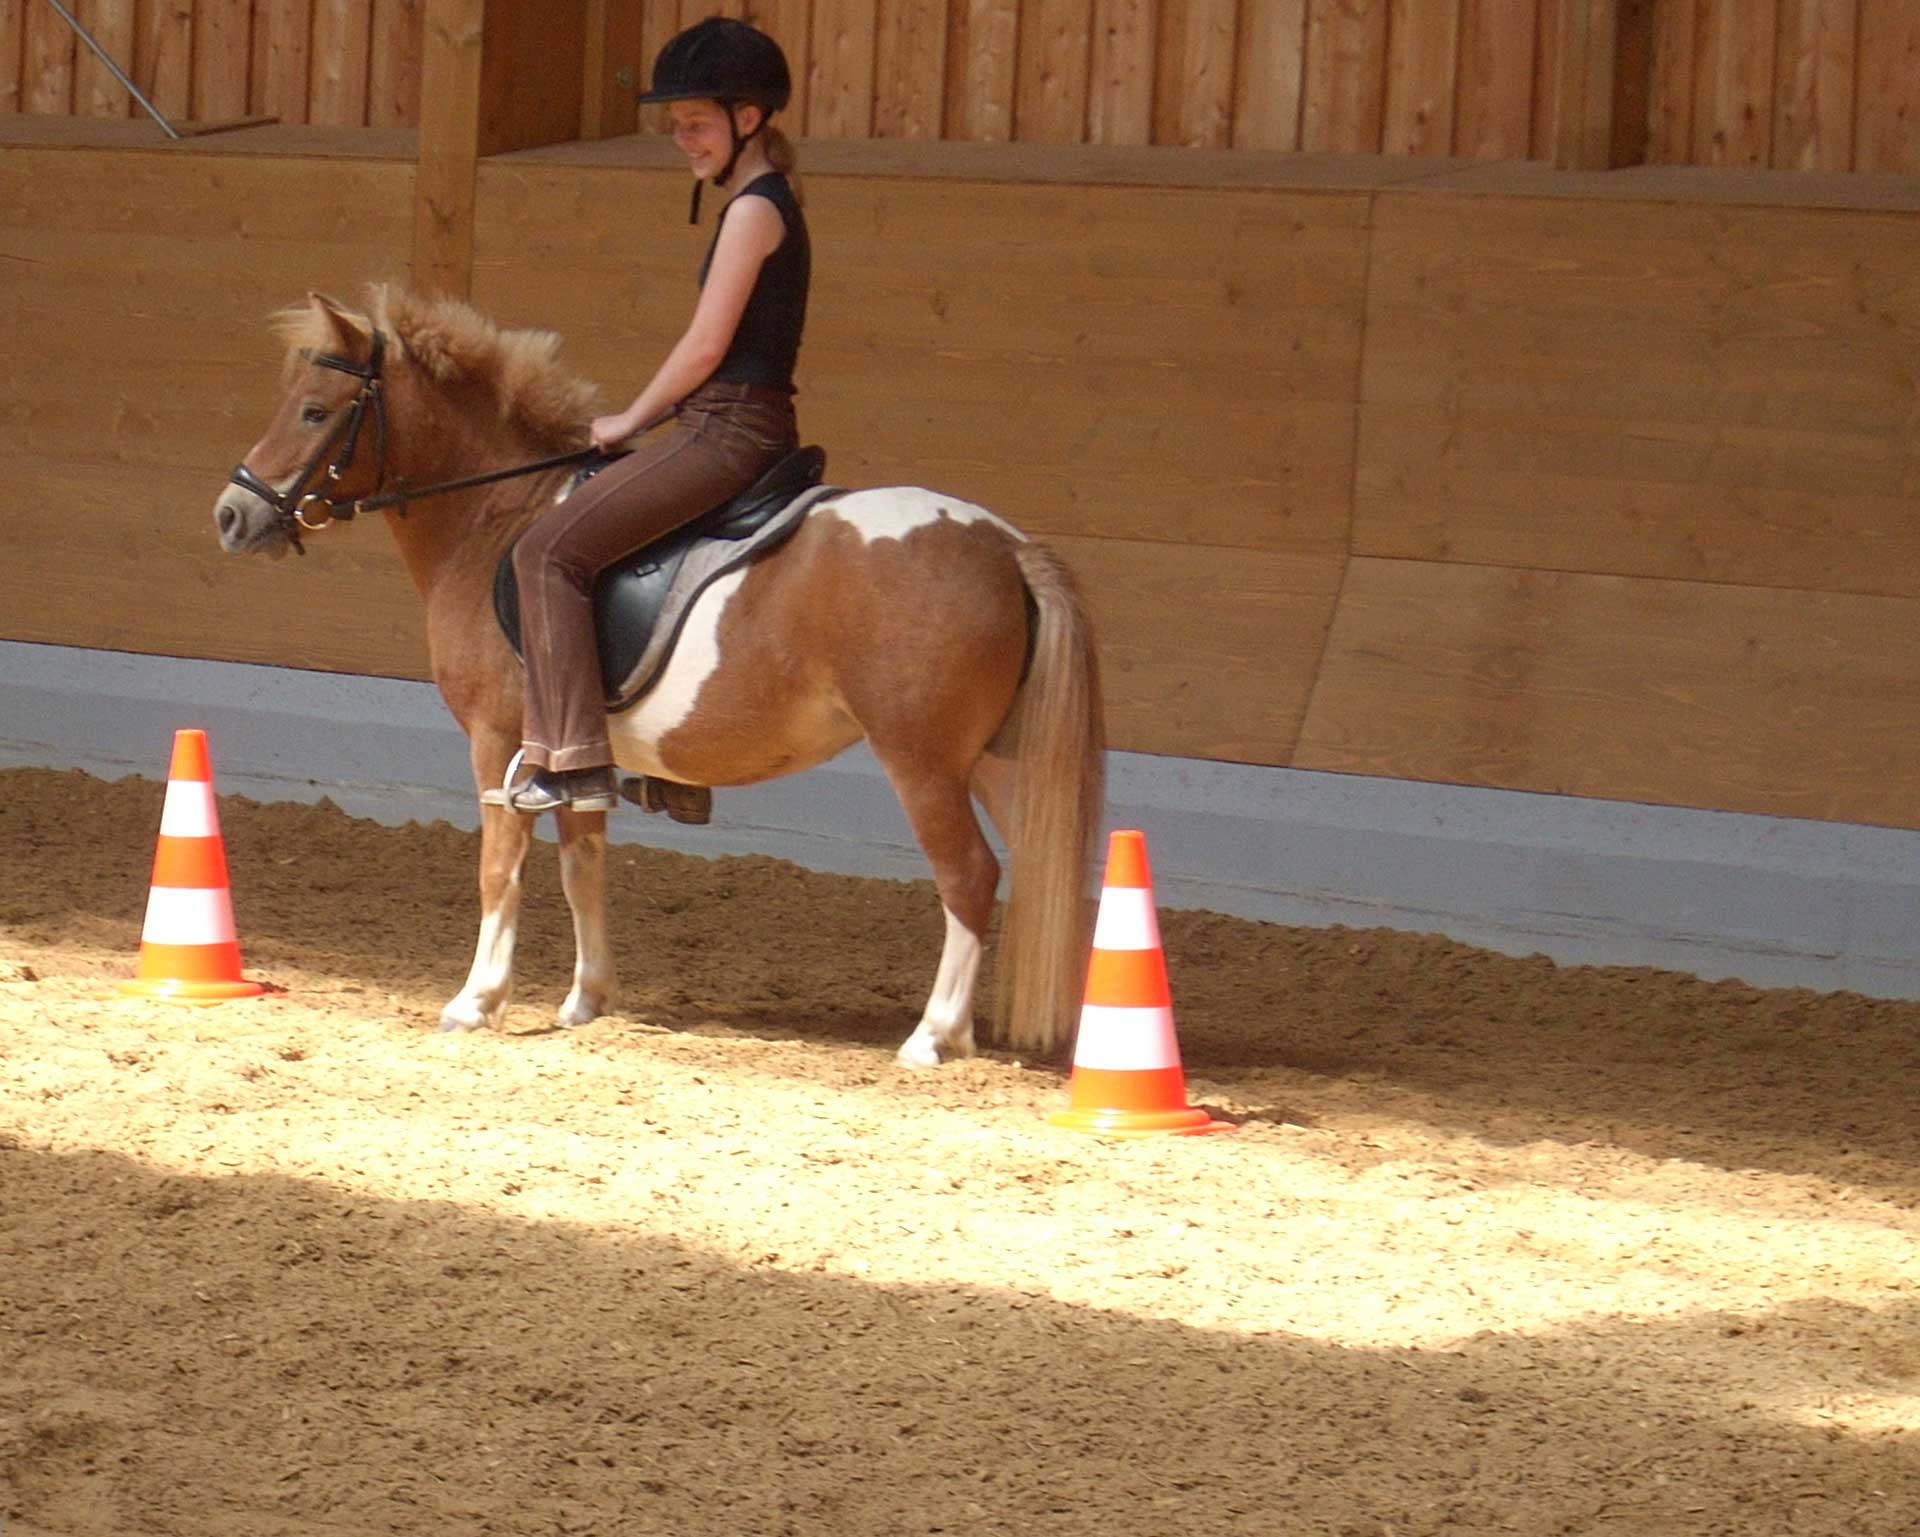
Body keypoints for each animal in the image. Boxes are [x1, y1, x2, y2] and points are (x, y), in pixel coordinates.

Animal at [208, 287, 1105, 1059]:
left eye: (315, 411)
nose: (232, 513)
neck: (499, 515)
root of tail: (1003, 545)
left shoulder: (499, 738)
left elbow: (500, 866)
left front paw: (476, 999)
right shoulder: (568, 751)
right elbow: (581, 863)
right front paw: (586, 998)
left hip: (924, 763)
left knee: (970, 875)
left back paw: (934, 1035)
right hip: (1000, 761)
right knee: (1048, 876)